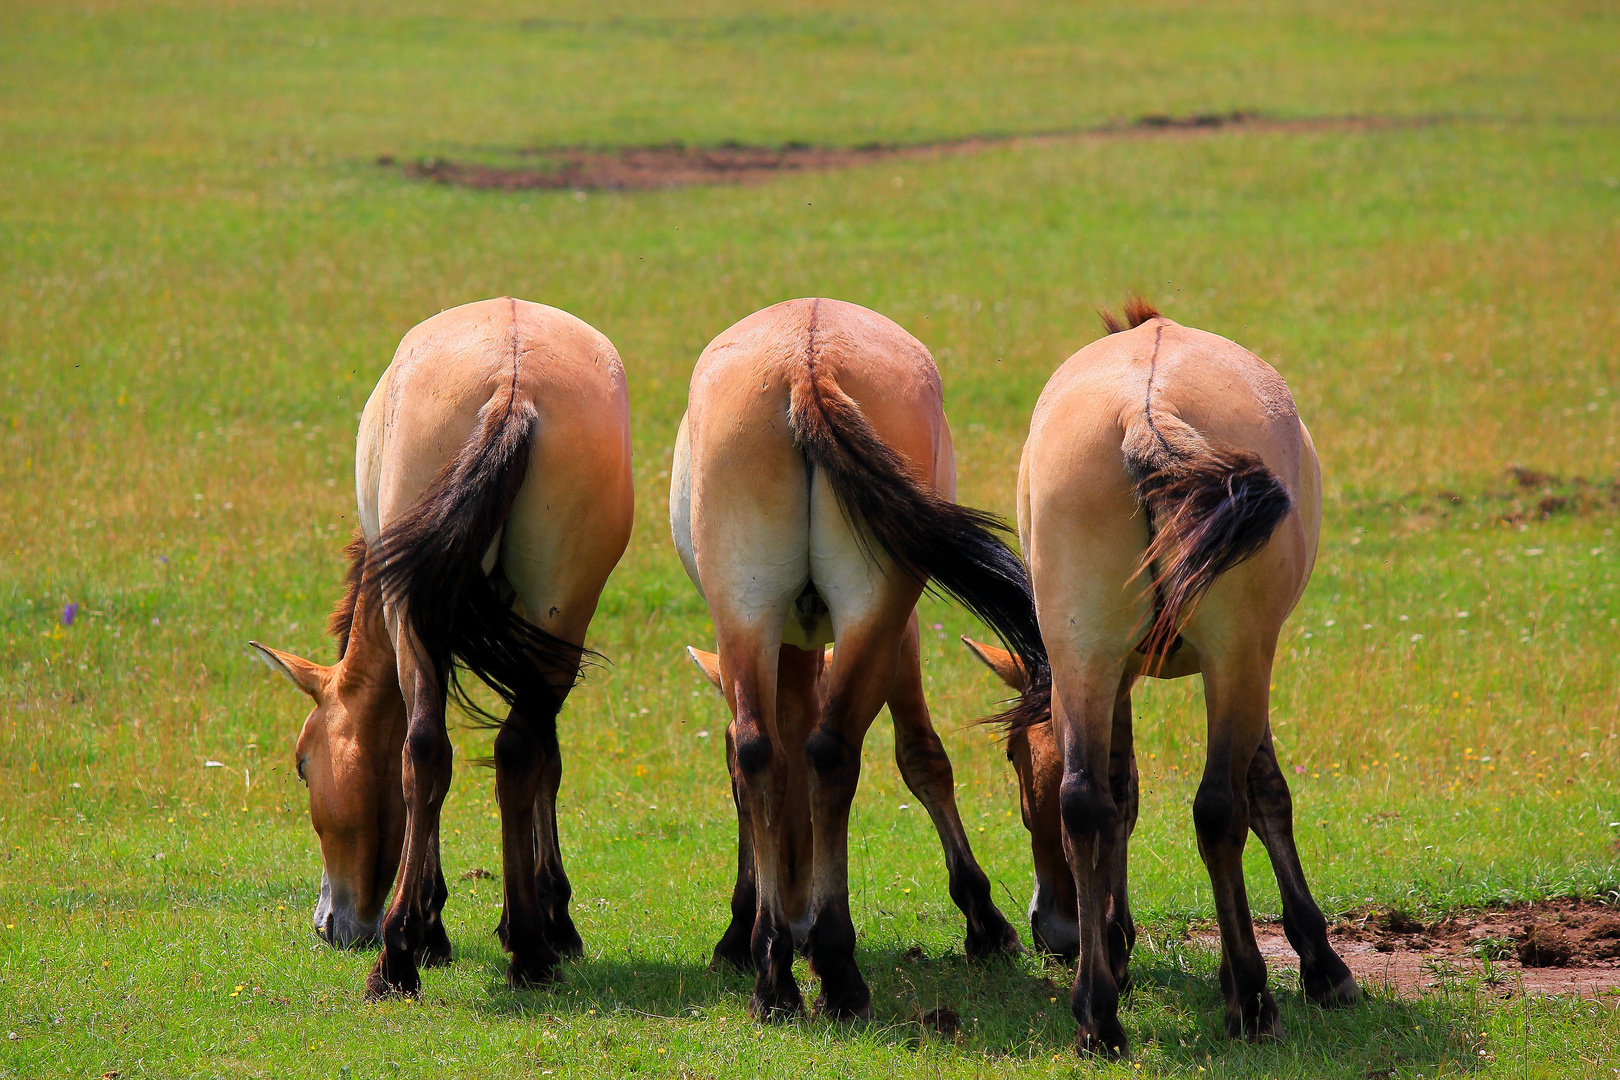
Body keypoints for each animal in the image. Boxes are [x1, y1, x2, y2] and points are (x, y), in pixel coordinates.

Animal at [251, 296, 631, 997]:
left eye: (301, 765)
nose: (328, 925)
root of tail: (512, 387)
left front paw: (434, 924)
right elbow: (545, 759)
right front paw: (546, 919)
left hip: (417, 618)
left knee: (423, 749)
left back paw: (400, 953)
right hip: (562, 611)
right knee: (509, 750)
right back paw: (530, 950)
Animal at [664, 297, 1043, 1023]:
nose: (795, 921)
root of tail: (806, 365)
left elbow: (766, 764)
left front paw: (752, 933)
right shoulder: (903, 632)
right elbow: (924, 758)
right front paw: (985, 923)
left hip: (745, 610)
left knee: (764, 749)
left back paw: (776, 976)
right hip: (876, 612)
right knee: (831, 752)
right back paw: (832, 968)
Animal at [965, 299, 1360, 1062]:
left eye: (1013, 759)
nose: (1053, 932)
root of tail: (1144, 413)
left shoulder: (1110, 673)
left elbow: (1119, 795)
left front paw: (1113, 948)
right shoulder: (1249, 659)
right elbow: (1266, 793)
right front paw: (1320, 964)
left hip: (1085, 653)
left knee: (1085, 804)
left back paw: (1097, 1013)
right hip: (1235, 656)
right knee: (1220, 808)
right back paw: (1250, 999)